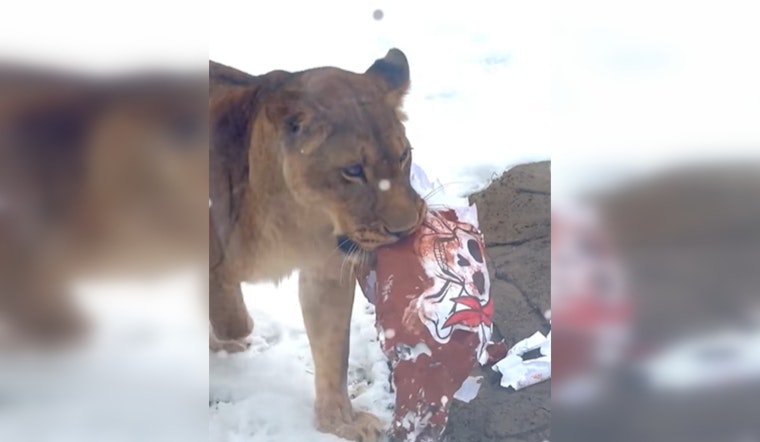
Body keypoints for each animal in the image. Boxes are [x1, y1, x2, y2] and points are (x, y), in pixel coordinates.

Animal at [209, 49, 427, 441]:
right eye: (353, 170)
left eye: (404, 156)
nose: (405, 230)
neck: (296, 220)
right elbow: (231, 315)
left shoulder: (326, 271)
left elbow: (332, 350)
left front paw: (340, 421)